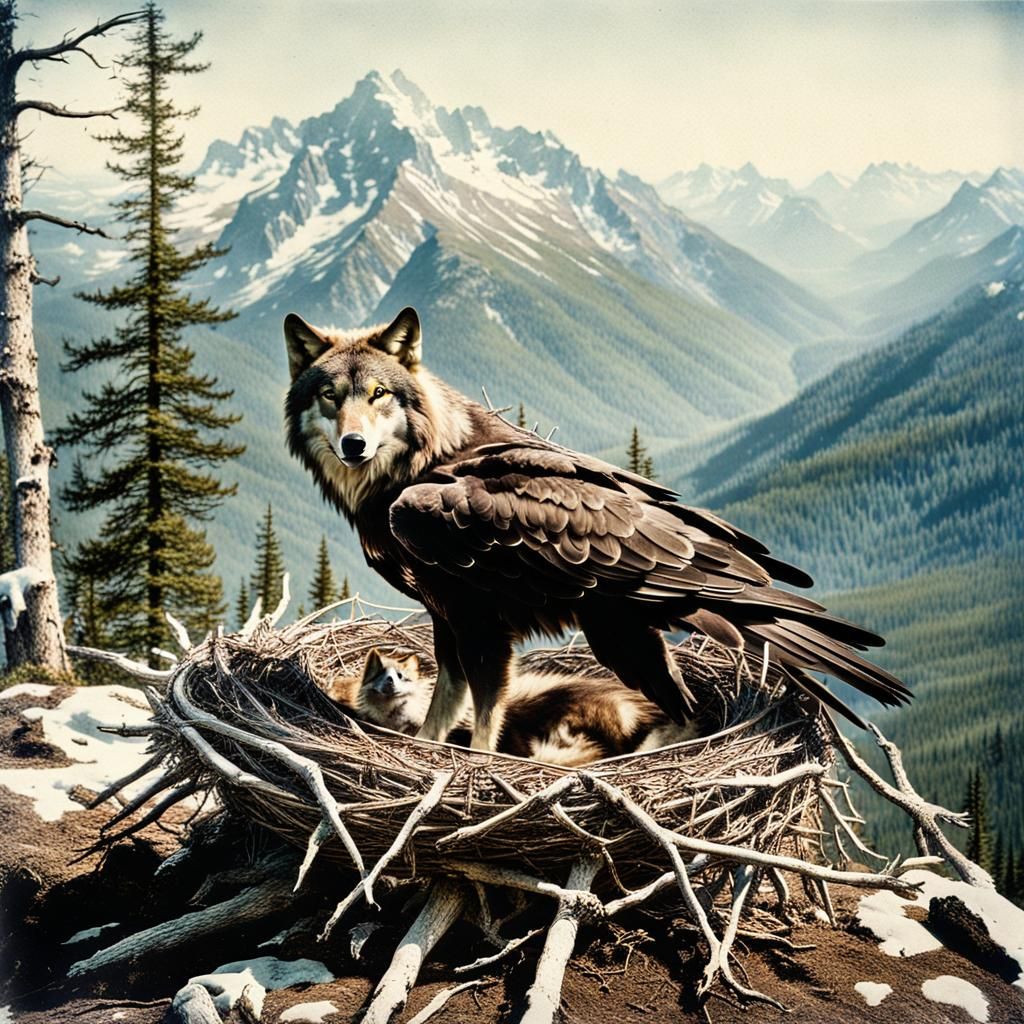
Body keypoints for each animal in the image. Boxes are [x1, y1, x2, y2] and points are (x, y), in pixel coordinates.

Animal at [284, 307, 911, 752]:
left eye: (379, 394)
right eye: (328, 395)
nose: (353, 444)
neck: (408, 470)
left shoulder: (478, 613)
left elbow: (486, 704)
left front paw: (477, 759)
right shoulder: (445, 609)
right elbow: (448, 691)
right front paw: (430, 740)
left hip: (628, 611)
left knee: (684, 708)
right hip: (622, 625)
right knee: (684, 705)